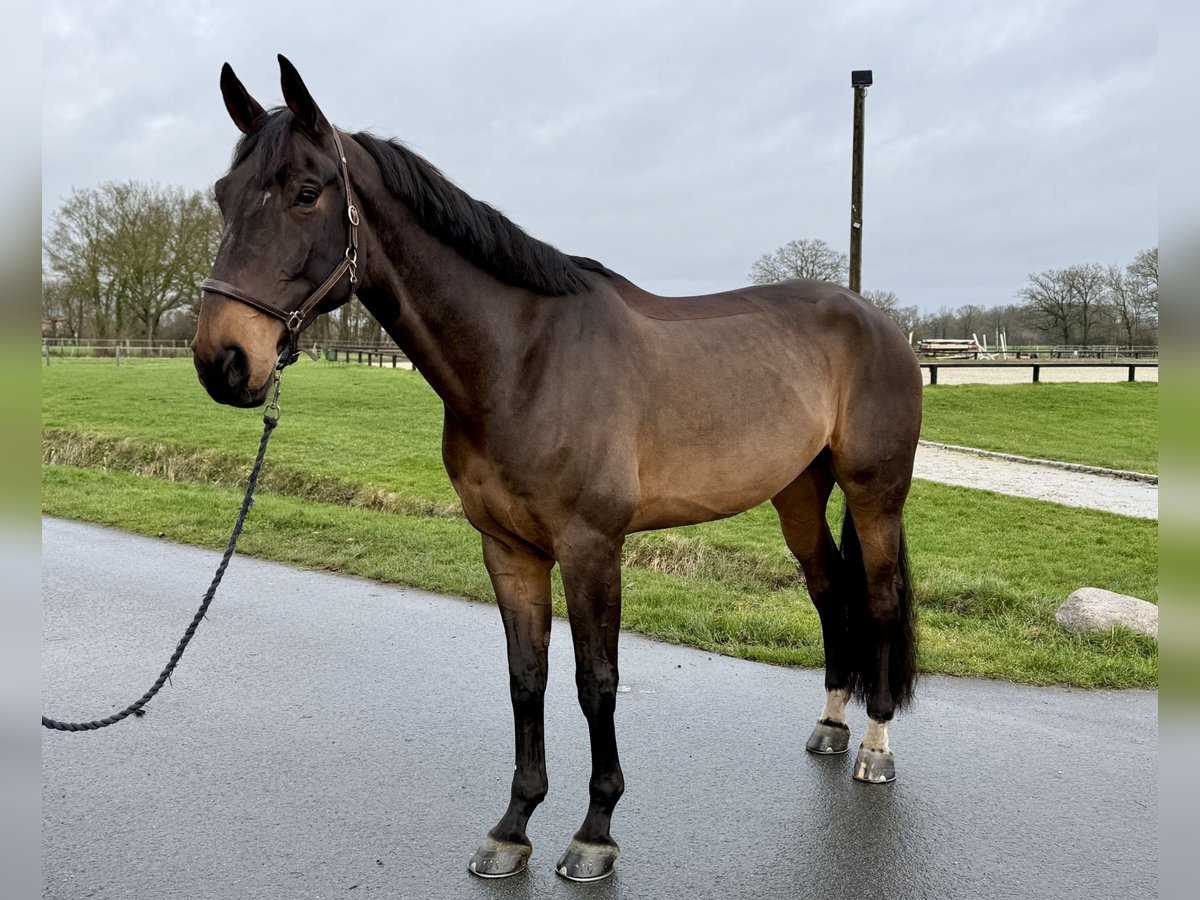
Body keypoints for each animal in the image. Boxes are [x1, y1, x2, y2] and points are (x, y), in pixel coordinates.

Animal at [191, 55, 922, 882]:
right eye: (223, 195)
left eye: (307, 193)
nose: (223, 360)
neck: (522, 360)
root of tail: (879, 320)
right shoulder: (509, 549)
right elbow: (527, 679)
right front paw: (513, 828)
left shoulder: (591, 547)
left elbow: (594, 682)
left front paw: (594, 833)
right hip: (797, 492)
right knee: (830, 591)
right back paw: (831, 726)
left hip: (875, 493)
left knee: (880, 600)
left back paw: (874, 747)